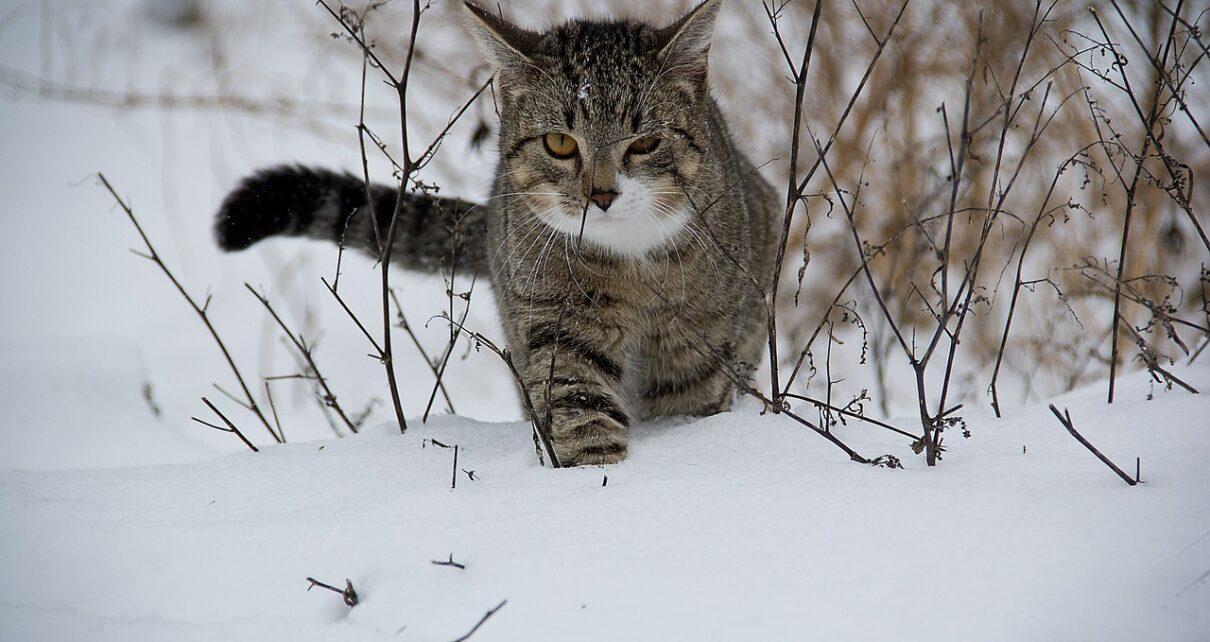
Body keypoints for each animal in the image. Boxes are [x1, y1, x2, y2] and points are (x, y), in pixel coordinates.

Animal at [212, 0, 779, 464]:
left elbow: (688, 401)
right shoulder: (554, 320)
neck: (629, 262)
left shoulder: (698, 341)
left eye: (645, 143)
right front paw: (595, 475)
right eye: (559, 143)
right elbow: (579, 403)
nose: (601, 195)